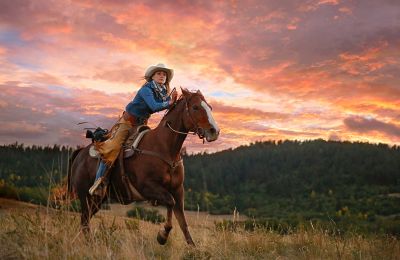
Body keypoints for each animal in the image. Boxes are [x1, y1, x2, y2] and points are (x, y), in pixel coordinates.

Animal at [67, 89, 220, 246]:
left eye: (210, 107)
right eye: (195, 107)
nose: (214, 131)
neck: (164, 147)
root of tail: (80, 153)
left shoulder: (178, 190)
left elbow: (183, 222)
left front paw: (192, 247)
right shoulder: (147, 187)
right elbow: (170, 202)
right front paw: (162, 236)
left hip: (98, 200)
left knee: (85, 220)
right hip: (85, 195)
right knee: (85, 221)